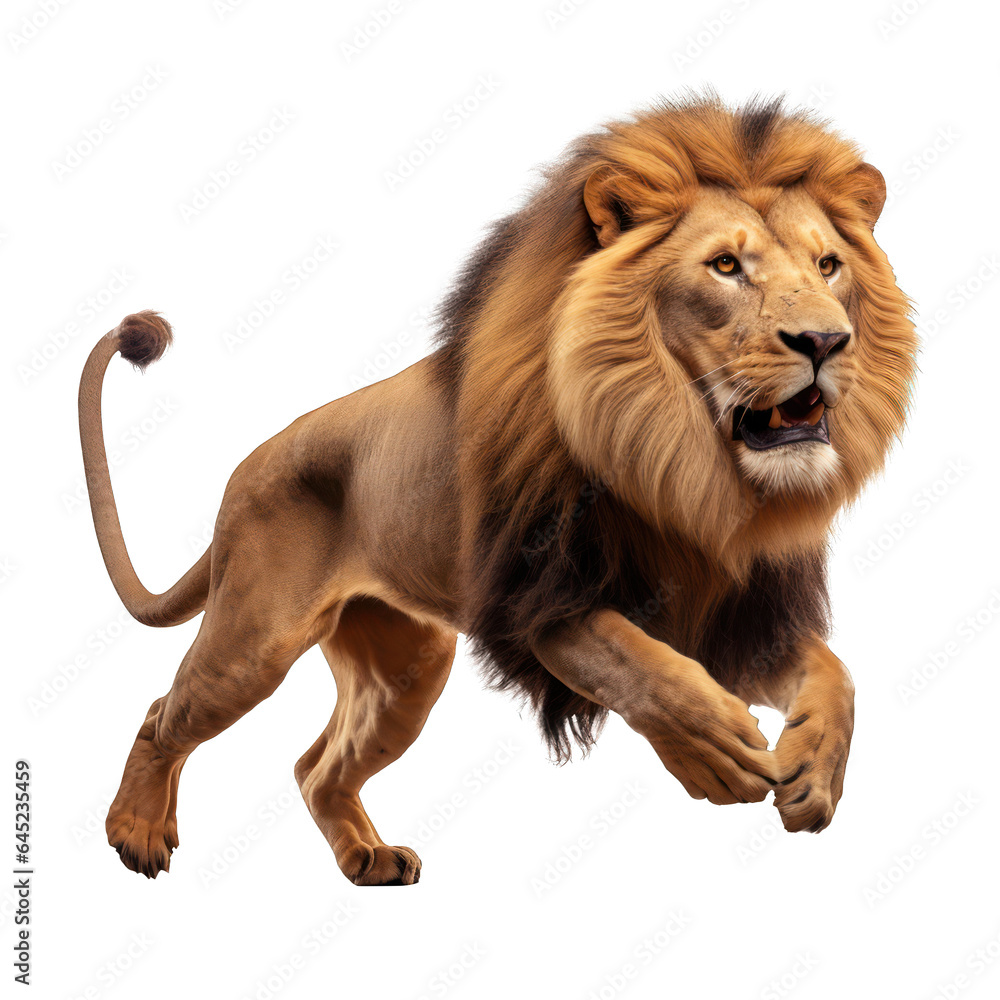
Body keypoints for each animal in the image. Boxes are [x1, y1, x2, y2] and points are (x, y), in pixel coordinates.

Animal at [79, 94, 917, 885]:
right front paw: (714, 750)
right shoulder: (539, 599)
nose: (825, 341)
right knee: (163, 714)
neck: (681, 466)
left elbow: (836, 674)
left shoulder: (734, 614)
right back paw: (135, 834)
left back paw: (369, 858)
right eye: (725, 267)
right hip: (256, 639)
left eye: (828, 266)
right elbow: (637, 665)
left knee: (315, 767)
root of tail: (250, 462)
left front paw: (812, 772)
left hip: (408, 669)